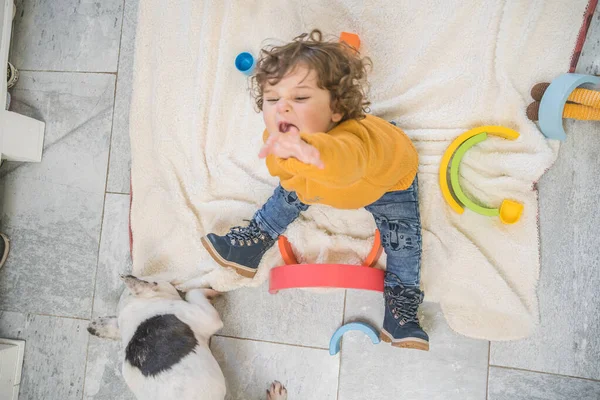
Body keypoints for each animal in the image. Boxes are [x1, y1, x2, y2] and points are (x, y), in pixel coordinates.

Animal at [87, 276, 288, 400]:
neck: (138, 308)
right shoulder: (207, 317)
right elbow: (193, 293)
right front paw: (212, 291)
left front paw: (99, 326)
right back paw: (277, 395)